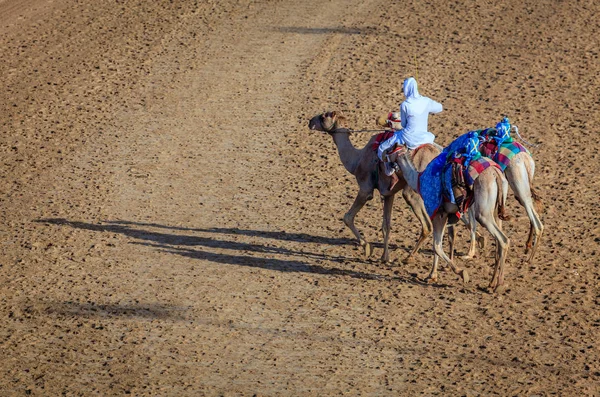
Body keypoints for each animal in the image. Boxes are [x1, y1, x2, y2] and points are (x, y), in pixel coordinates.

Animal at [308, 110, 438, 262]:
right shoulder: (388, 193)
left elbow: (348, 217)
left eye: (324, 116)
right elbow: (386, 225)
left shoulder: (365, 189)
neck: (357, 160)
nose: (310, 121)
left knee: (427, 224)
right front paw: (384, 257)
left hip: (413, 187)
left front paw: (367, 247)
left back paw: (408, 258)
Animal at [394, 144, 510, 292]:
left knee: (503, 240)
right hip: (496, 208)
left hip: (483, 213)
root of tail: (496, 174)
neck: (418, 179)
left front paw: (461, 273)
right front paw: (432, 275)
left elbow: (436, 245)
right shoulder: (445, 215)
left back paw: (498, 285)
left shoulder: (438, 214)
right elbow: (438, 243)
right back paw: (491, 283)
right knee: (498, 242)